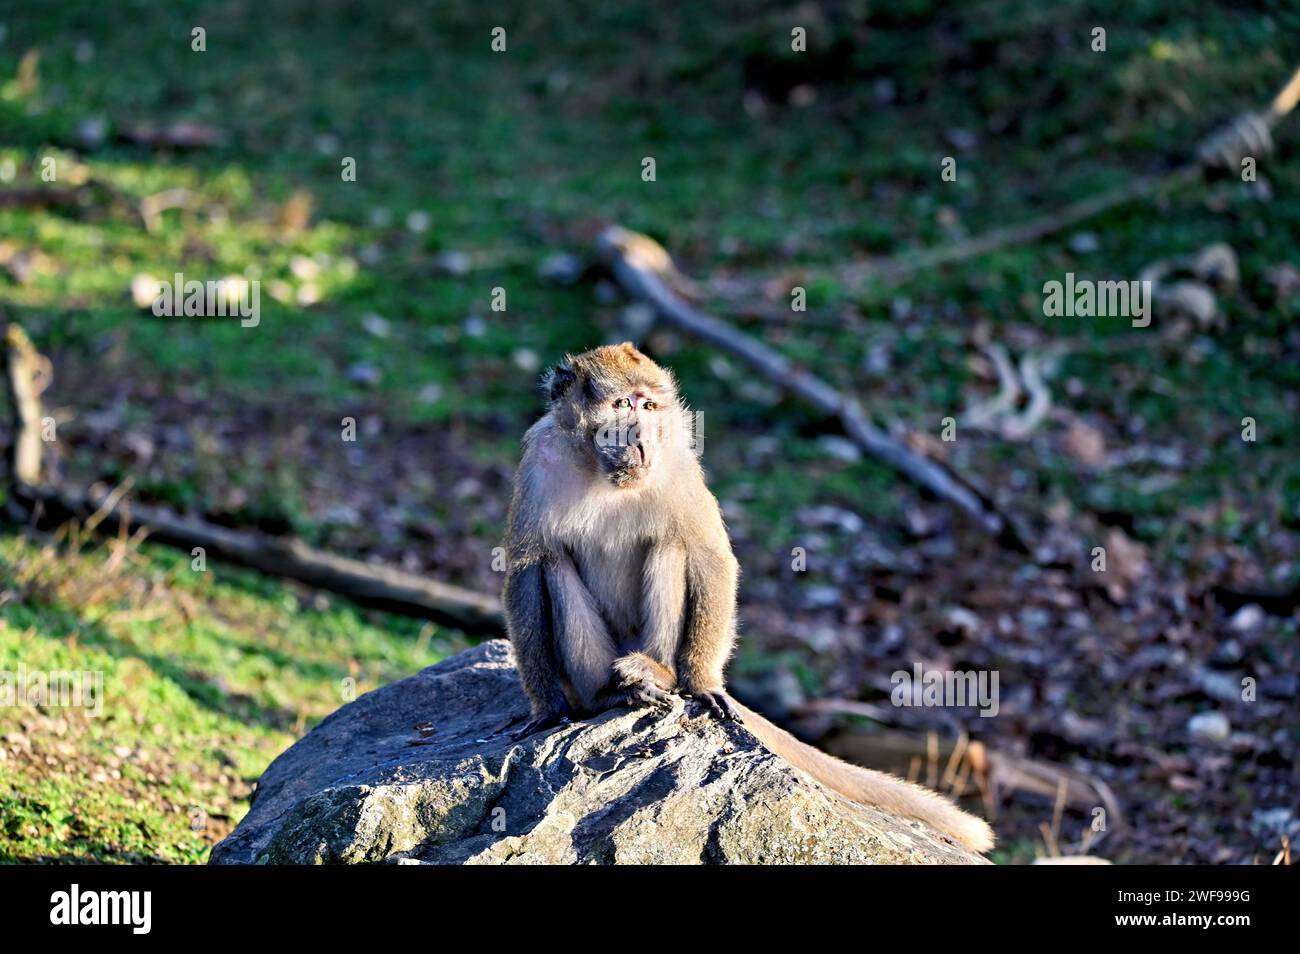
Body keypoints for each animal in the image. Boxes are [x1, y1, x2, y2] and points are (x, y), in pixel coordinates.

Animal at [501, 343, 987, 852]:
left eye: (647, 406)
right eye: (620, 405)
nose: (641, 440)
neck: (603, 475)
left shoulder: (679, 464)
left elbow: (708, 554)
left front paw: (703, 683)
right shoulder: (539, 462)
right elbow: (526, 568)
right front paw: (547, 709)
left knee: (670, 545)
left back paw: (656, 674)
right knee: (554, 566)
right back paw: (607, 696)